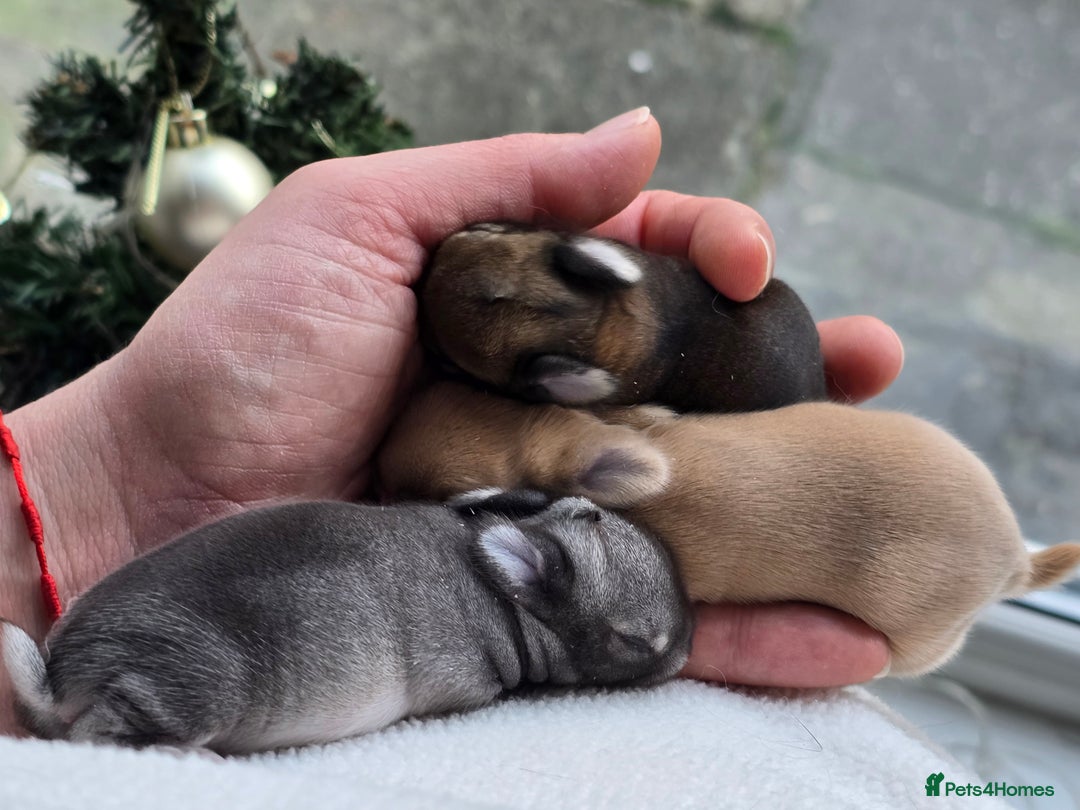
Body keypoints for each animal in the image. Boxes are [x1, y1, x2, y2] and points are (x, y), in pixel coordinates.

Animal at [1, 491, 692, 754]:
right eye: (636, 640)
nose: (688, 648)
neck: (507, 600)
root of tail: (63, 673)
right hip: (192, 687)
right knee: (98, 731)